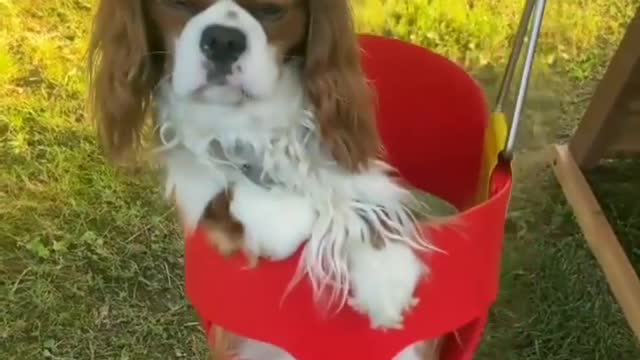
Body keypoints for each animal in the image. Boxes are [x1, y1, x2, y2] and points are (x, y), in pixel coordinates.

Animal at [87, 1, 440, 358]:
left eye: (272, 11)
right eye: (179, 4)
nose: (223, 40)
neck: (249, 122)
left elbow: (360, 203)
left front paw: (386, 272)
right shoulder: (195, 177)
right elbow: (236, 192)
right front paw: (282, 216)